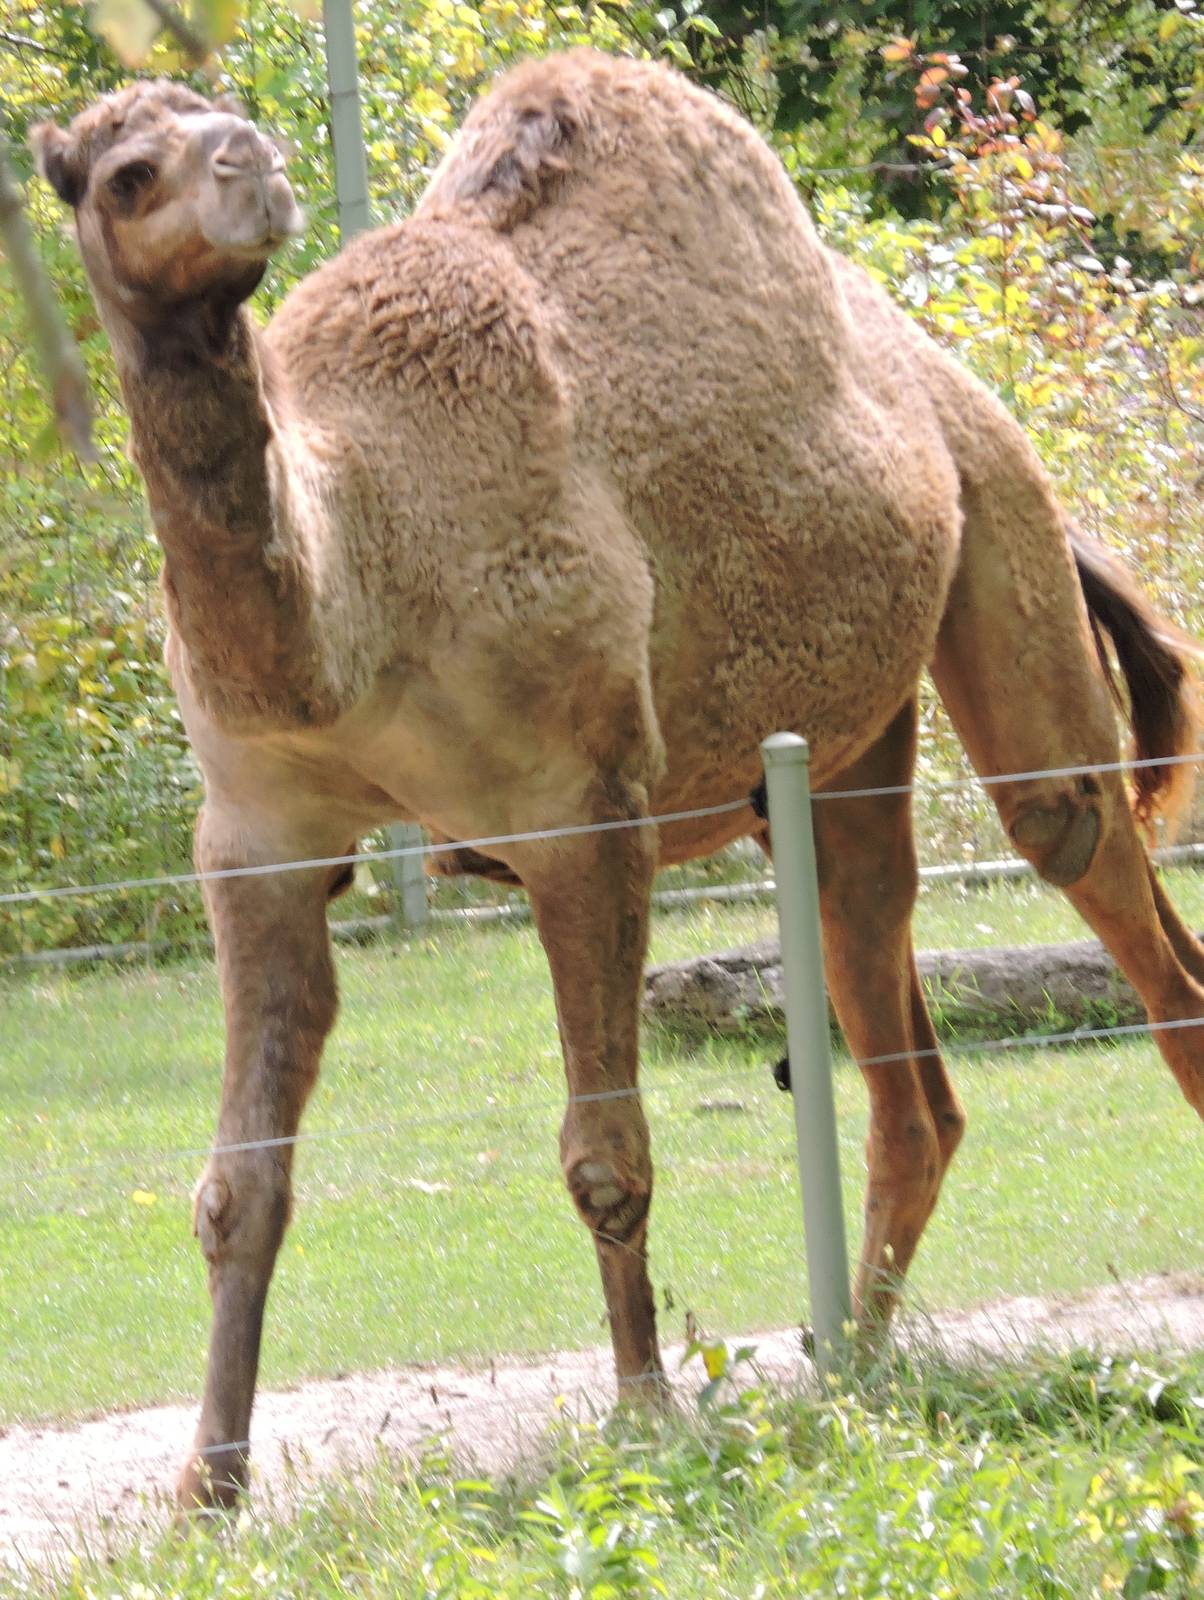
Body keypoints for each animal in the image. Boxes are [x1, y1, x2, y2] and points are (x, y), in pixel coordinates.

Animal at [32, 48, 1204, 1511]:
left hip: (1005, 529)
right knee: (902, 1051)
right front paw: (207, 1487)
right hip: (846, 737)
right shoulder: (258, 834)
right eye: (128, 175)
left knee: (1103, 890)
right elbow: (239, 1186)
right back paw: (851, 1373)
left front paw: (645, 1419)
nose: (255, 170)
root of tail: (937, 372)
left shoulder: (581, 806)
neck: (356, 578)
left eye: (222, 134)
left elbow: (606, 1157)